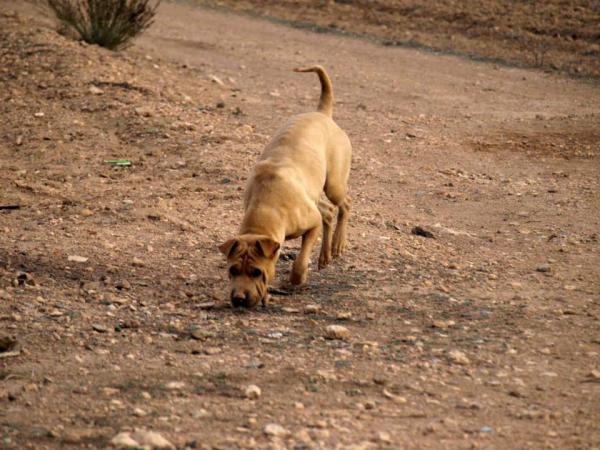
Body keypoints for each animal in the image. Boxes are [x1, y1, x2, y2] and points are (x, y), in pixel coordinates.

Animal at [219, 66, 352, 306]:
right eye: (232, 270)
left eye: (256, 272)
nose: (239, 299)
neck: (266, 207)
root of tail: (322, 113)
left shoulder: (312, 224)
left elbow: (300, 261)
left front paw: (297, 278)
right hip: (314, 195)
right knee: (328, 212)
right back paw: (325, 255)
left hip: (334, 185)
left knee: (344, 204)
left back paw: (338, 244)